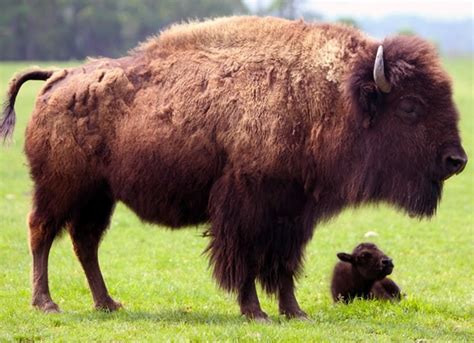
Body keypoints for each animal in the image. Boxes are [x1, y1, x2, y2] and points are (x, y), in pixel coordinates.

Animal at [0, 17, 466, 322]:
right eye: (410, 106)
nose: (457, 160)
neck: (334, 97)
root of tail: (59, 76)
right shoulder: (246, 207)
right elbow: (244, 260)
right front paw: (255, 312)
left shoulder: (293, 213)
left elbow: (283, 265)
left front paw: (294, 313)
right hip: (61, 188)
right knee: (42, 232)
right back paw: (47, 303)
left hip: (99, 196)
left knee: (85, 243)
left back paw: (107, 303)